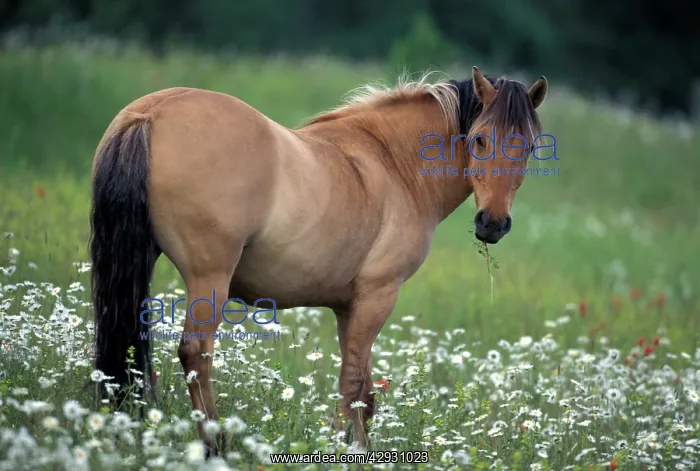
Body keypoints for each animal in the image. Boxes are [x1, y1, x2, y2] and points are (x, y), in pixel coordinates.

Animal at [89, 66, 547, 455]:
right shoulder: (377, 297)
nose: (493, 224)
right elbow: (353, 383)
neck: (392, 162)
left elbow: (363, 392)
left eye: (528, 147)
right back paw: (215, 444)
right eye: (480, 139)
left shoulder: (349, 308)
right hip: (210, 278)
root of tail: (152, 113)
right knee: (195, 353)